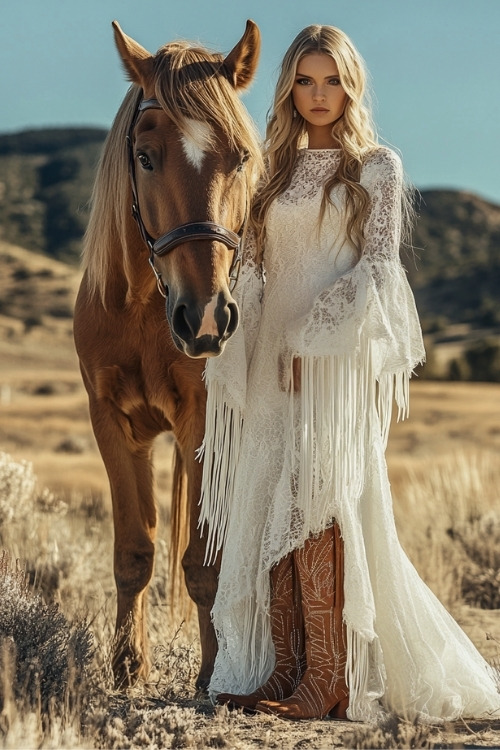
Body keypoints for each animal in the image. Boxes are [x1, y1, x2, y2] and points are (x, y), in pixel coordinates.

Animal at [75, 19, 262, 692]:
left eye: (241, 156)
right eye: (145, 157)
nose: (205, 317)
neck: (143, 314)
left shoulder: (202, 422)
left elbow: (204, 559)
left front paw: (211, 675)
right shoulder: (113, 421)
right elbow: (135, 551)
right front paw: (127, 667)